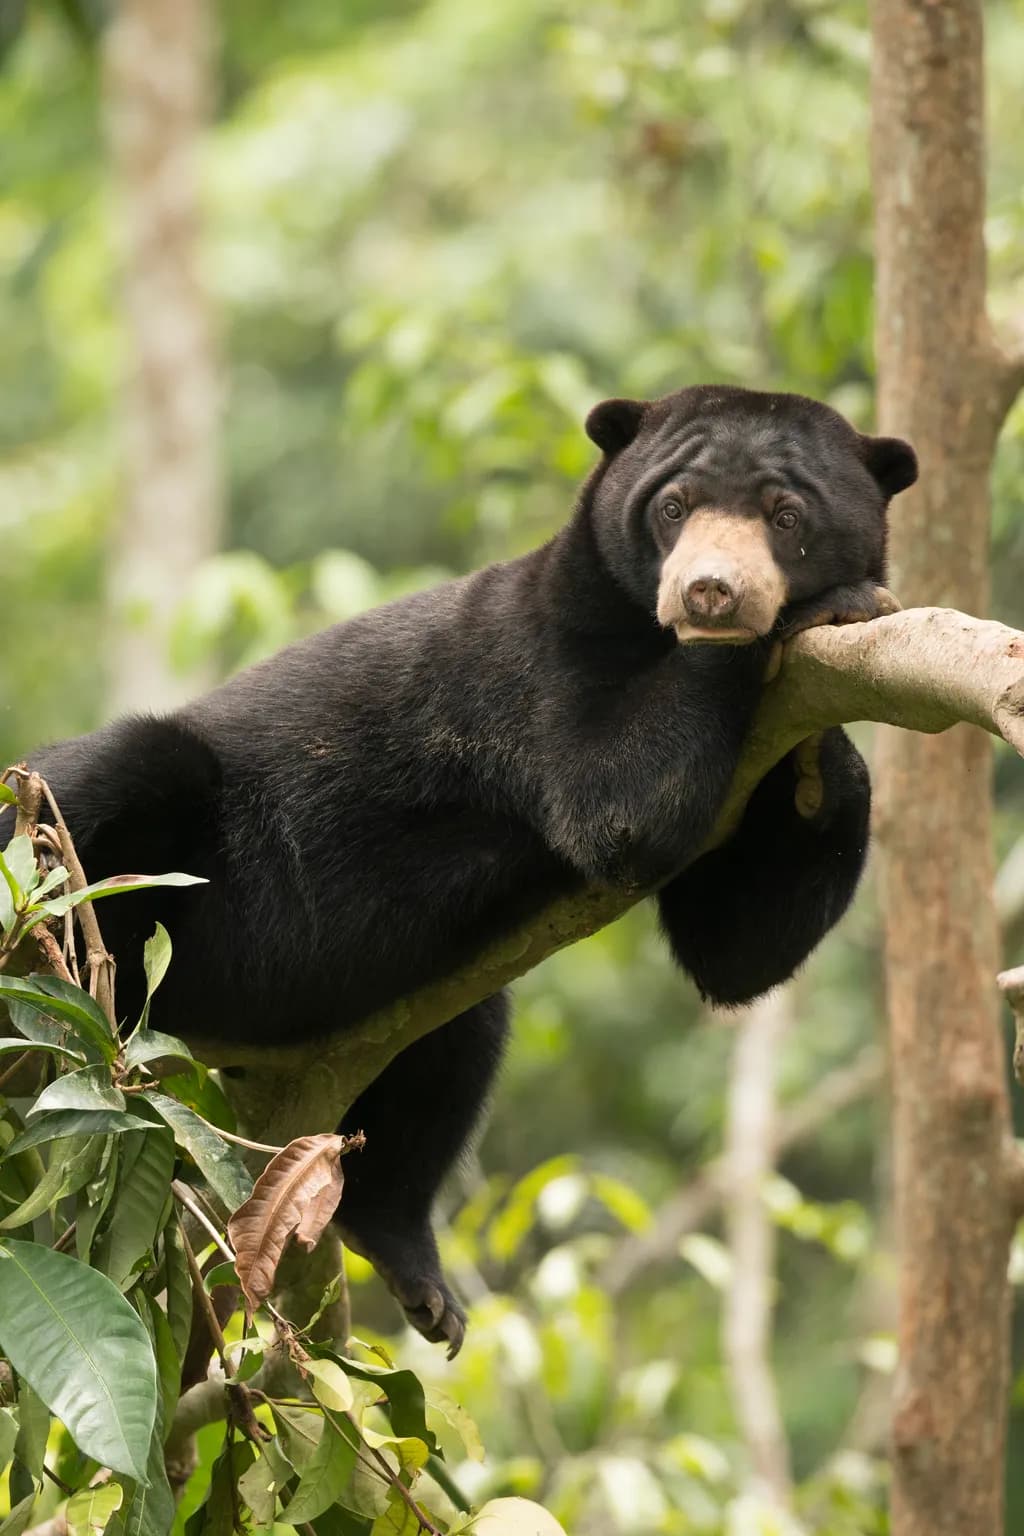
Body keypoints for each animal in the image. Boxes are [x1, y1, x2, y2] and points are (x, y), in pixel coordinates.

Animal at [0, 384, 917, 1355]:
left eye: (786, 515)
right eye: (673, 506)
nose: (711, 591)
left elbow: (738, 948)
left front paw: (826, 757)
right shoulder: (538, 671)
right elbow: (616, 800)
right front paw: (826, 610)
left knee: (451, 1054)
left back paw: (411, 1265)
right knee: (121, 770)